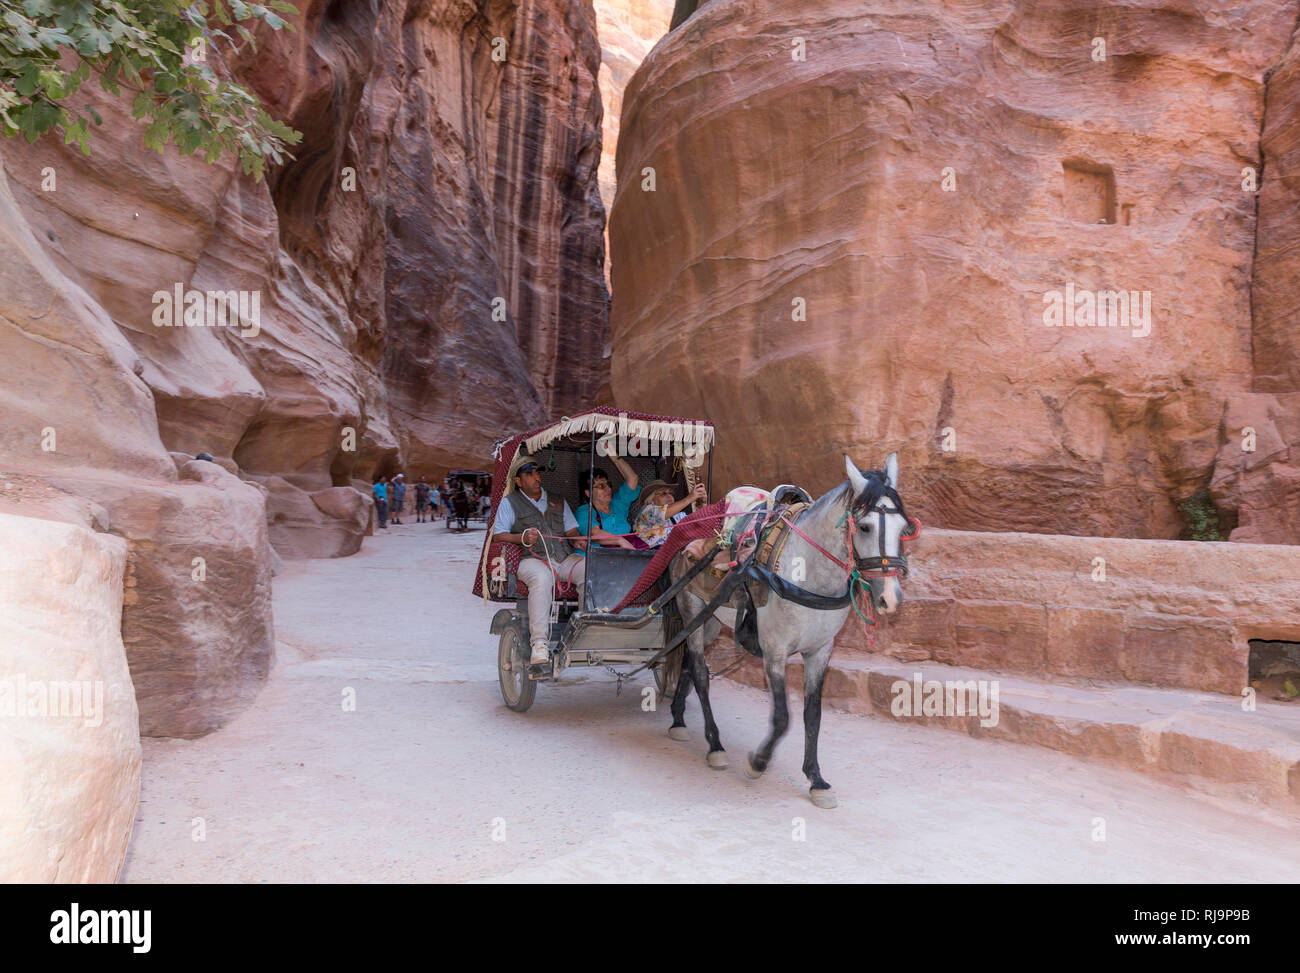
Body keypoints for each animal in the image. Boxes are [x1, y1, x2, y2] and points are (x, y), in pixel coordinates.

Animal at [660, 452, 915, 811]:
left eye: (904, 527)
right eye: (864, 526)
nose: (890, 599)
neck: (806, 572)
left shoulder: (820, 651)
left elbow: (813, 714)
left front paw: (816, 779)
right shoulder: (774, 651)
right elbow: (782, 717)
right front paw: (757, 763)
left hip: (709, 622)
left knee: (687, 663)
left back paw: (679, 720)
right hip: (691, 607)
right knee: (699, 673)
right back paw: (715, 745)